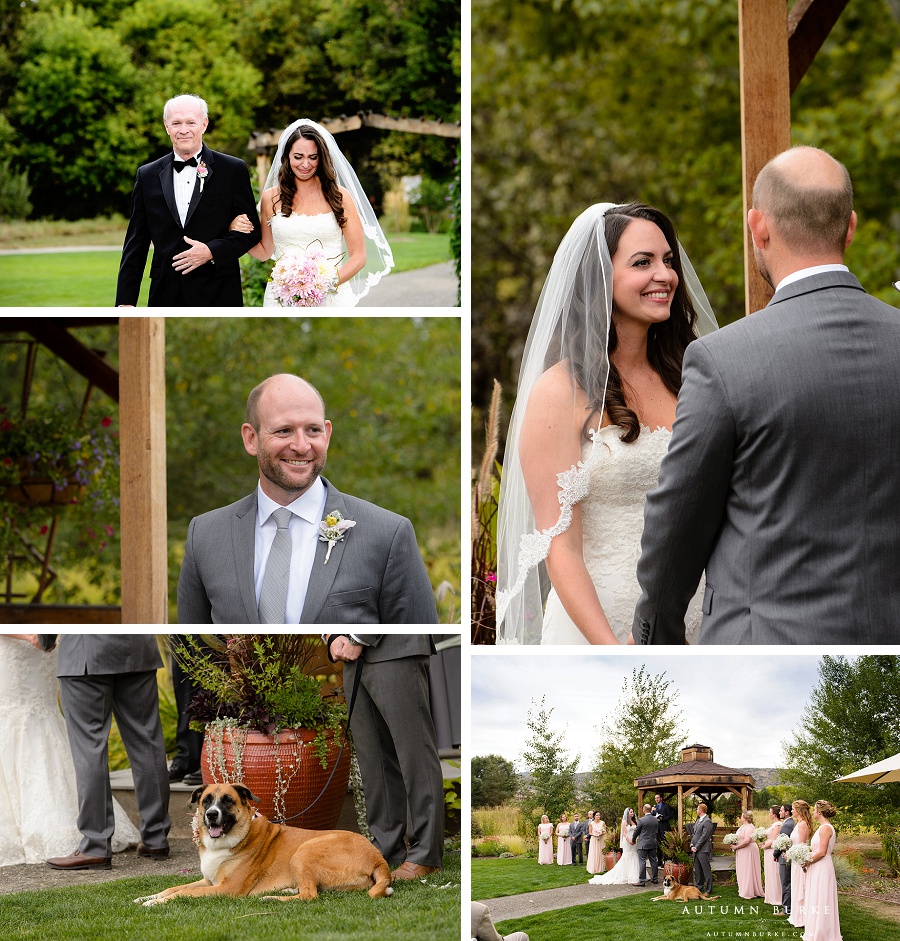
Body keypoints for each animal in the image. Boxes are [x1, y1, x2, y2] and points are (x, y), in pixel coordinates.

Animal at [132, 780, 392, 904]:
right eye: (206, 800)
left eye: (227, 800)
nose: (212, 815)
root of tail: (378, 857)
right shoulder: (208, 881)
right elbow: (174, 888)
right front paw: (147, 897)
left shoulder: (226, 889)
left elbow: (182, 893)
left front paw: (156, 903)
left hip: (304, 851)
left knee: (310, 895)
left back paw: (271, 898)